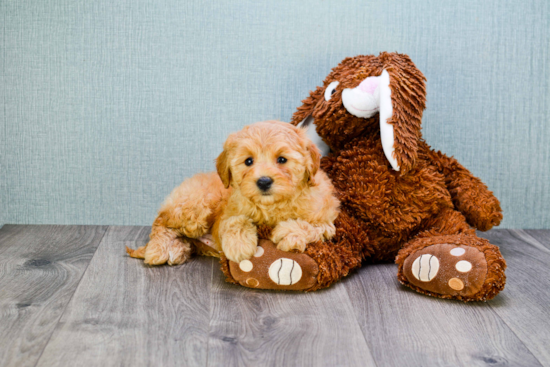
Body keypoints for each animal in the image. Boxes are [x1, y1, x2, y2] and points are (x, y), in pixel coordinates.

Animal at [126, 122, 338, 266]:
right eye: (248, 161)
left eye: (282, 159)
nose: (264, 181)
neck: (272, 205)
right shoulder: (227, 213)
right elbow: (235, 221)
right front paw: (240, 245)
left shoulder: (326, 219)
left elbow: (313, 226)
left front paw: (289, 232)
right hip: (195, 209)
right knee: (162, 220)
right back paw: (159, 249)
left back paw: (178, 248)